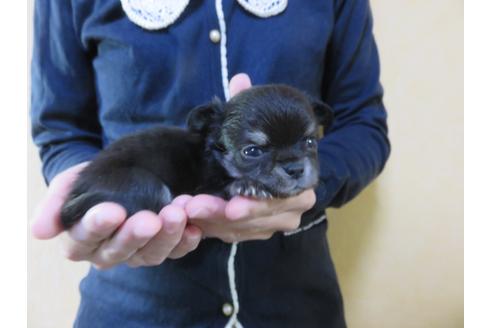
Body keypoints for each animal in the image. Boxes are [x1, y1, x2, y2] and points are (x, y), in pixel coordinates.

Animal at [59, 84, 332, 228]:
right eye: (252, 151)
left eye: (310, 142)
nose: (295, 169)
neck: (217, 158)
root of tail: (78, 187)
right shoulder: (203, 188)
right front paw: (246, 185)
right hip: (147, 186)